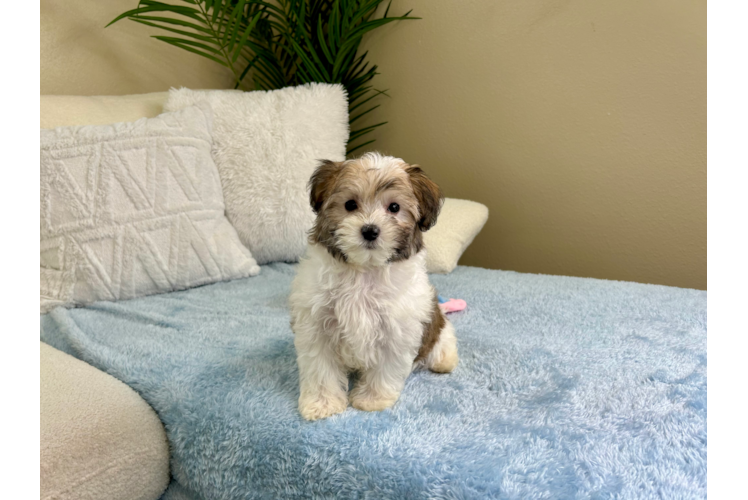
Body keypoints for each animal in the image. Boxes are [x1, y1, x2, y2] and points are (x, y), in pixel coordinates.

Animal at [290, 153, 458, 422]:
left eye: (394, 208)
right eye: (350, 205)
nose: (370, 230)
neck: (364, 270)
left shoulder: (397, 327)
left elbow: (385, 367)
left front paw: (372, 399)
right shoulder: (316, 325)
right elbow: (321, 368)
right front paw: (322, 403)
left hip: (438, 329)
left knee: (444, 343)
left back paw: (444, 361)